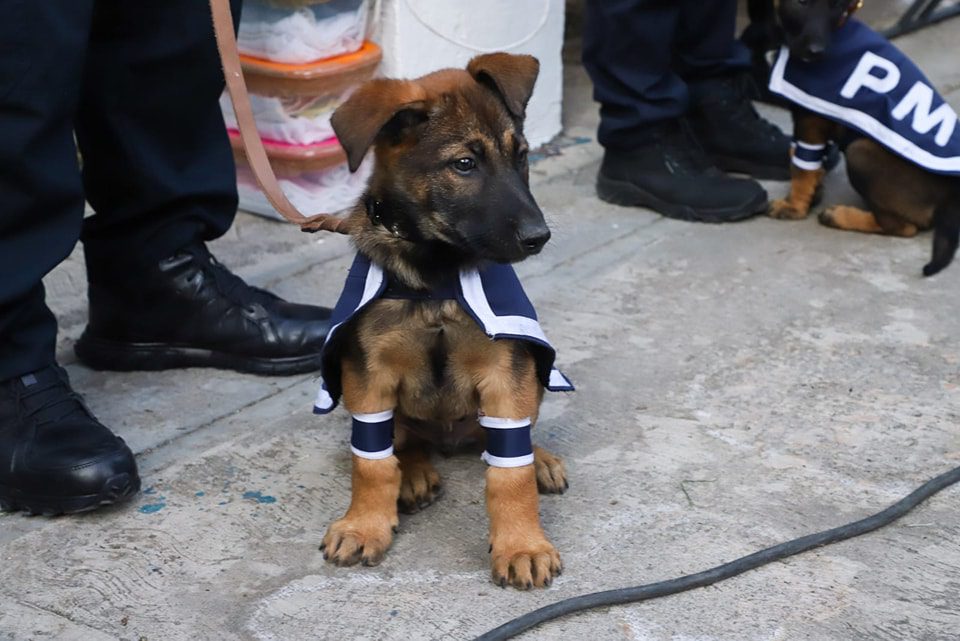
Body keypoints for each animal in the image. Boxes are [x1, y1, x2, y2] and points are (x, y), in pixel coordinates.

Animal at [312, 52, 572, 588]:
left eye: (521, 155)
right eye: (464, 164)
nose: (539, 237)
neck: (436, 278)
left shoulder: (505, 372)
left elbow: (509, 474)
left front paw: (522, 544)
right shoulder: (370, 375)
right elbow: (370, 464)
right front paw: (363, 524)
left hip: (531, 380)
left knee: (504, 438)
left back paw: (541, 460)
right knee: (403, 442)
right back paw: (413, 474)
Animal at [764, 0, 960, 272]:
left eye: (835, 6)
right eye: (801, 3)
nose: (817, 52)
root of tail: (952, 193)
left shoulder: (810, 121)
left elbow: (802, 168)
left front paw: (795, 206)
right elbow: (801, 158)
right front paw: (814, 188)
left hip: (861, 153)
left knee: (903, 227)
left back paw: (841, 216)